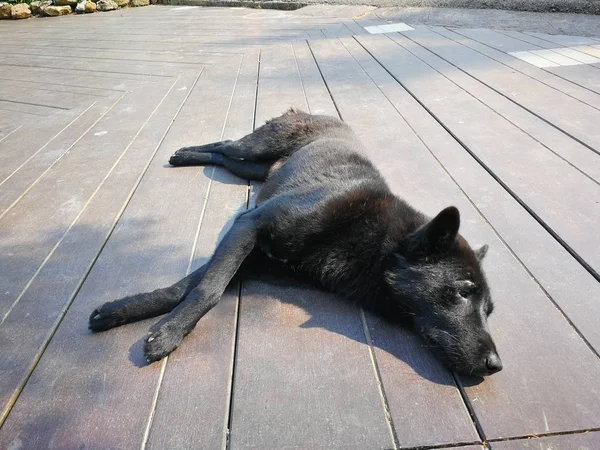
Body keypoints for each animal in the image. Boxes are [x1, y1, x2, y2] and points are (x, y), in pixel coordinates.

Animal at [89, 109, 502, 376]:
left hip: (254, 167)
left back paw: (187, 155)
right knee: (227, 142)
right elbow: (207, 290)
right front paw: (167, 334)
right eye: (463, 292)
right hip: (254, 149)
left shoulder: (249, 255)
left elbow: (186, 287)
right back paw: (185, 153)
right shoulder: (248, 226)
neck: (369, 237)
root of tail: (319, 111)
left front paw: (119, 312)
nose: (496, 365)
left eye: (488, 310)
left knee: (225, 155)